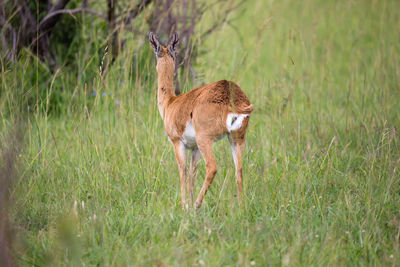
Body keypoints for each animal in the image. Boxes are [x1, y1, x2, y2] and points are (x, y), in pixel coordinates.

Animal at [148, 31, 255, 209]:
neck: (171, 103)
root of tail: (232, 99)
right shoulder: (194, 148)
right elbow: (192, 174)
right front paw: (189, 204)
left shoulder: (178, 143)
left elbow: (183, 170)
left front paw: (185, 205)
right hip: (236, 139)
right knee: (238, 170)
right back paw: (240, 207)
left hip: (205, 139)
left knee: (212, 168)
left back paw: (198, 204)